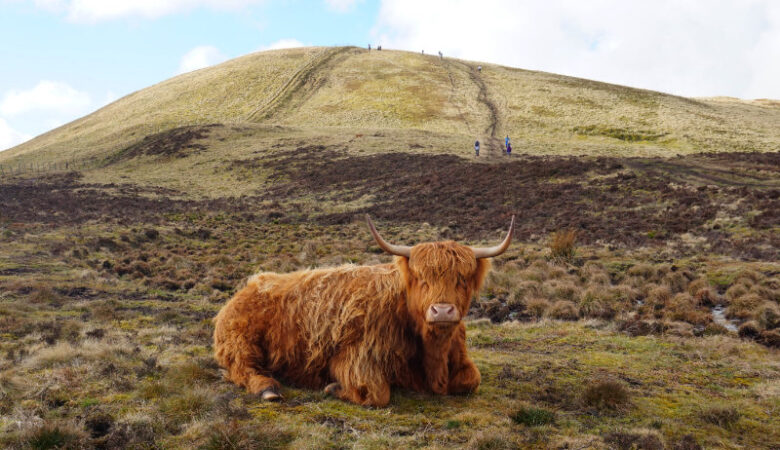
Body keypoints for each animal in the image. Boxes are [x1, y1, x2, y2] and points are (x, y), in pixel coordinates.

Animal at [213, 215, 514, 406]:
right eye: (421, 278)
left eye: (462, 279)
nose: (442, 311)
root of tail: (251, 284)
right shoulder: (356, 358)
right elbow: (378, 394)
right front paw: (334, 387)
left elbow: (471, 380)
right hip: (241, 342)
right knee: (243, 368)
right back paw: (268, 389)